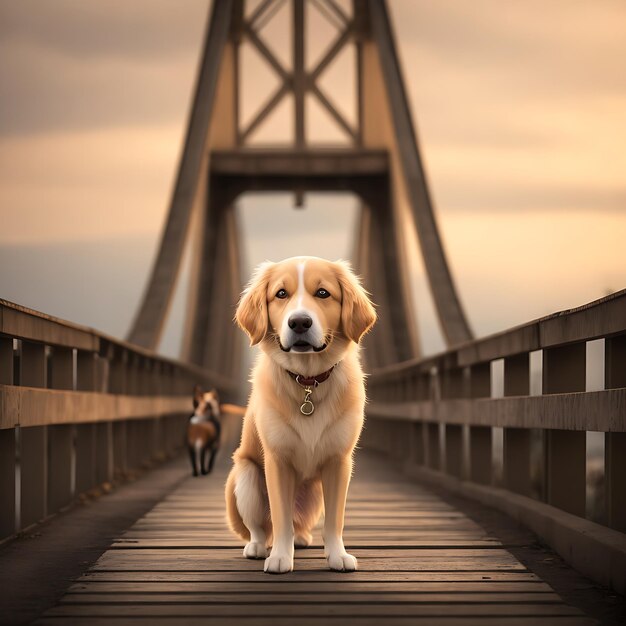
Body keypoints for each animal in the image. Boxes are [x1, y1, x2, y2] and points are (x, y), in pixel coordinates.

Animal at [224, 255, 376, 572]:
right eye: (281, 294)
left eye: (323, 293)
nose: (300, 322)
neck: (307, 381)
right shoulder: (277, 460)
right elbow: (281, 518)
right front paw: (280, 557)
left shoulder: (339, 462)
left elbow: (334, 520)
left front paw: (337, 556)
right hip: (245, 476)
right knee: (261, 526)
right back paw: (258, 547)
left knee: (301, 524)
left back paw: (303, 538)